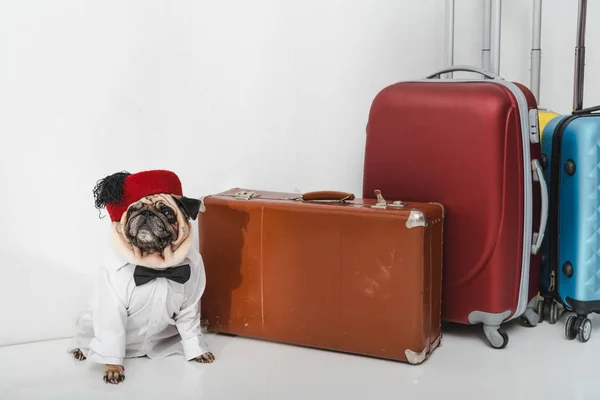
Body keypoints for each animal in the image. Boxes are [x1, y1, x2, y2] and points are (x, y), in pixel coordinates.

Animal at [67, 170, 214, 384]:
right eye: (132, 210)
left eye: (167, 212)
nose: (146, 213)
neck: (156, 267)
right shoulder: (112, 306)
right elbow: (112, 339)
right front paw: (113, 369)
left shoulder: (190, 304)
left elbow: (191, 329)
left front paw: (199, 352)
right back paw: (80, 349)